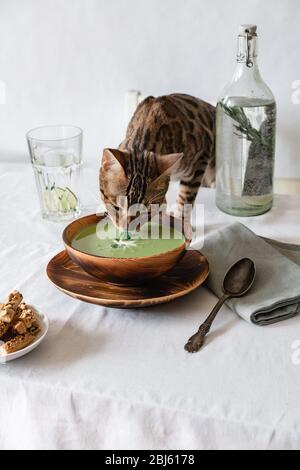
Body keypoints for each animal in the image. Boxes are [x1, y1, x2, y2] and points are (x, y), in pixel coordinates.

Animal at [99, 92, 214, 227]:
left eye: (145, 211)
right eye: (116, 207)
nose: (127, 228)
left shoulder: (202, 154)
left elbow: (185, 199)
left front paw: (180, 222)